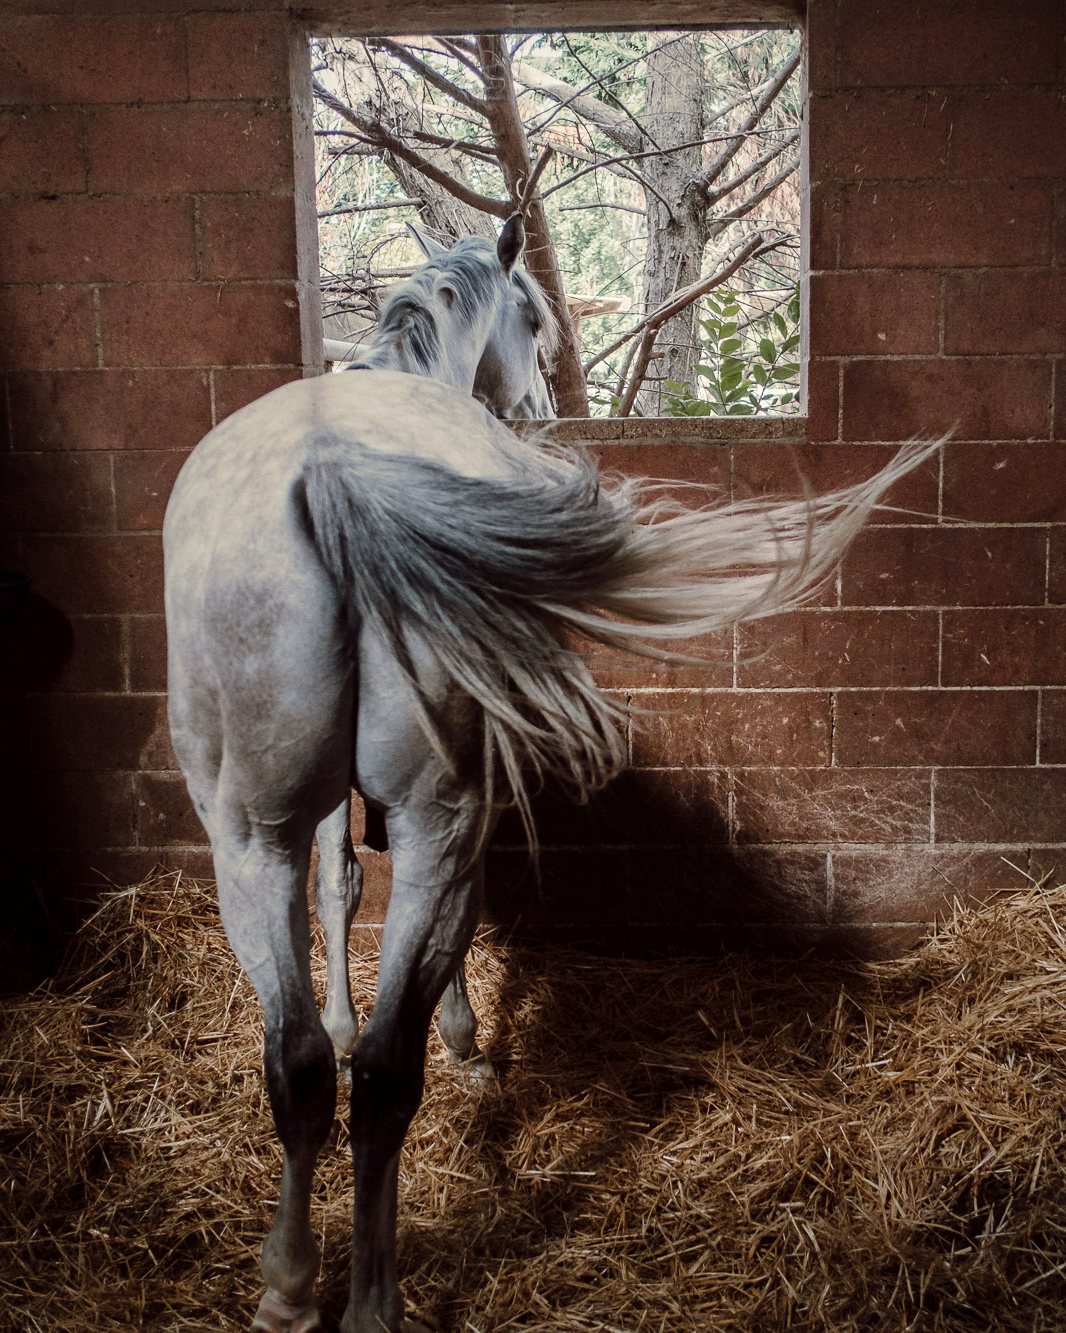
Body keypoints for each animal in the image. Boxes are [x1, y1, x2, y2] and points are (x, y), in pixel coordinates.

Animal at [163, 214, 938, 1332]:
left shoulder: (333, 812)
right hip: (413, 814)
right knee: (378, 1071)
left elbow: (340, 890)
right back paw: (373, 1291)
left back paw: (293, 1282)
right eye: (532, 320)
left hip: (250, 834)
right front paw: (468, 1039)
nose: (534, 407)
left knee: (305, 1066)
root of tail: (336, 470)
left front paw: (374, 1015)